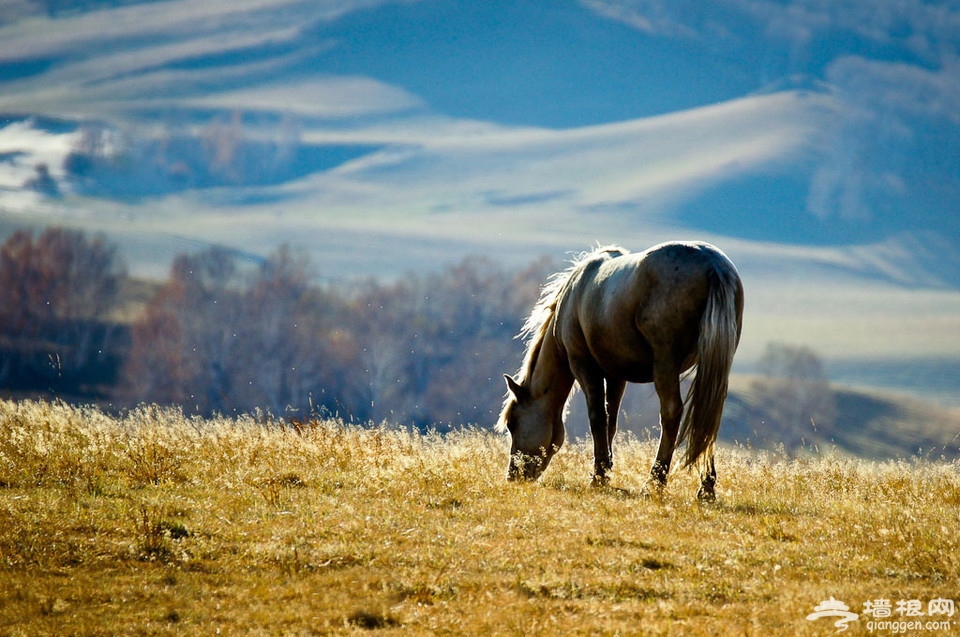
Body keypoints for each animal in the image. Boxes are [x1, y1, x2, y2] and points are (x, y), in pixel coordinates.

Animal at [496, 241, 744, 500]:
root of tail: (713, 265)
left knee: (671, 412)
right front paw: (606, 469)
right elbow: (611, 420)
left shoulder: (584, 366)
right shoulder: (616, 375)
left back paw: (655, 482)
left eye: (512, 423)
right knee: (708, 419)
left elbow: (597, 418)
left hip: (665, 364)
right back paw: (706, 488)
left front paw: (598, 476)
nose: (513, 476)